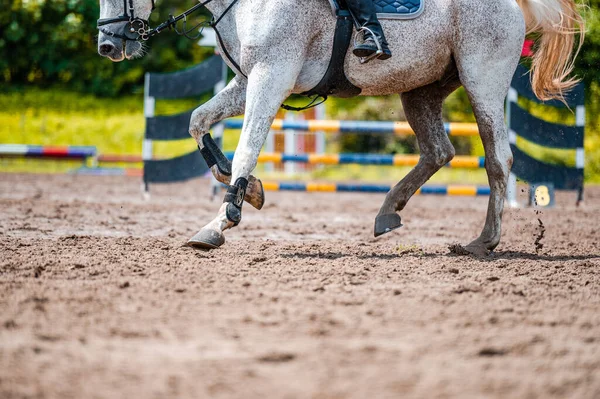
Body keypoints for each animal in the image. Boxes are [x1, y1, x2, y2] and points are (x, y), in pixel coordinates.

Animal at [96, 0, 584, 256]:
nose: (107, 46)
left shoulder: (271, 75)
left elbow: (247, 147)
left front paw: (220, 221)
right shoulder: (247, 81)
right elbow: (199, 122)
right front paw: (248, 190)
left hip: (482, 78)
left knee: (498, 158)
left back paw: (483, 241)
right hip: (422, 89)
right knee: (438, 151)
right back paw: (388, 211)